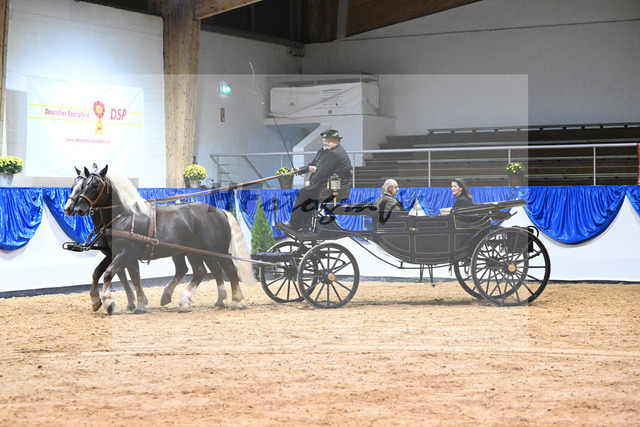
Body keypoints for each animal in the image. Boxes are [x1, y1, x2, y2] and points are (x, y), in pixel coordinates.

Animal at [71, 164, 254, 314]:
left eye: (95, 185)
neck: (124, 215)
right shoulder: (122, 254)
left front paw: (108, 302)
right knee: (202, 271)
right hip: (195, 252)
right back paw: (200, 300)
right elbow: (129, 276)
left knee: (227, 270)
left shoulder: (126, 252)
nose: (78, 209)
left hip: (216, 250)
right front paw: (138, 304)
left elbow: (109, 273)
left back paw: (234, 301)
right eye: (81, 185)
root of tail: (220, 211)